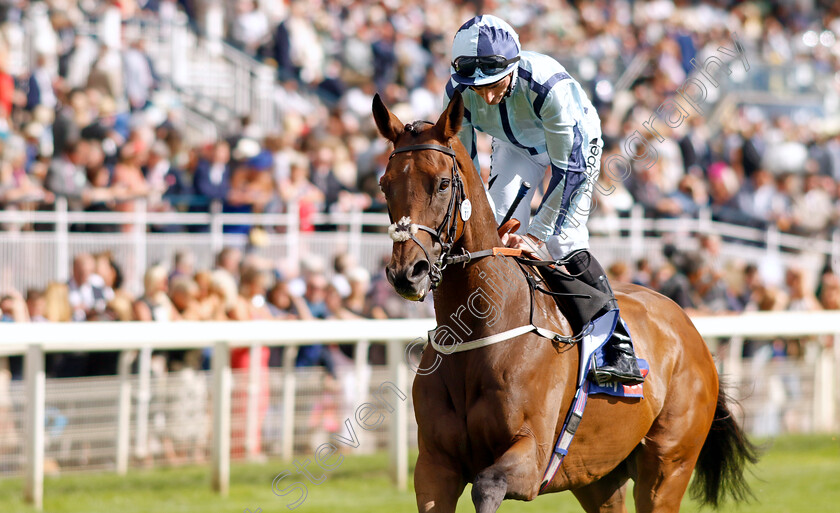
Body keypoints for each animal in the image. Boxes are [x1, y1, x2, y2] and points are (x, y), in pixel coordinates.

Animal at [370, 92, 756, 512]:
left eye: (442, 184)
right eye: (384, 185)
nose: (408, 272)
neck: (479, 330)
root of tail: (691, 332)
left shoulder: (533, 456)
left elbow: (487, 484)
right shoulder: (434, 468)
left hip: (669, 466)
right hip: (597, 476)